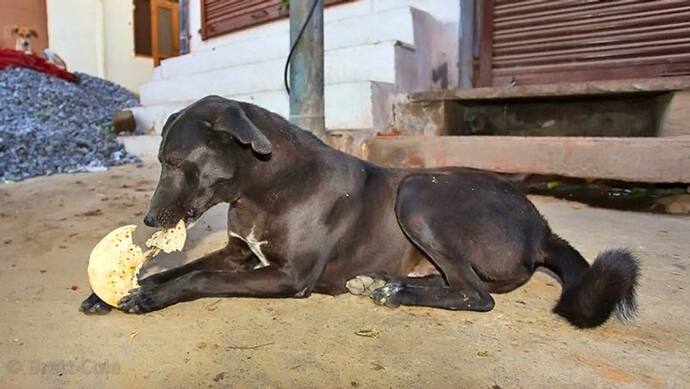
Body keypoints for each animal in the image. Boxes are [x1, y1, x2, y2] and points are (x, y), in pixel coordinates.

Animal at [82, 95, 640, 326]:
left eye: (176, 163)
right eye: (159, 160)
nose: (148, 222)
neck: (265, 186)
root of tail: (541, 227)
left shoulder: (288, 276)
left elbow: (198, 278)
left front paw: (149, 298)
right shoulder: (240, 255)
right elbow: (180, 268)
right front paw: (116, 291)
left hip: (418, 194)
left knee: (476, 296)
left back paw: (394, 291)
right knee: (455, 284)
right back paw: (386, 282)